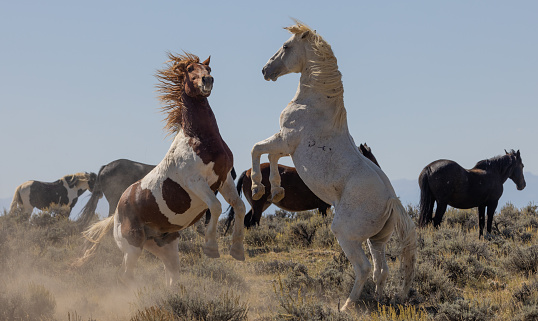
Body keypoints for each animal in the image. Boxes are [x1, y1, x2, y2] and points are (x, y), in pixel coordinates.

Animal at [224, 142, 378, 228]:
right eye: (368, 158)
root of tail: (248, 171)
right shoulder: (323, 207)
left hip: (262, 204)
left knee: (247, 221)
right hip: (258, 205)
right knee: (252, 222)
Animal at [249, 20, 416, 310]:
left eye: (286, 46)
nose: (266, 71)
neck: (313, 104)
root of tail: (391, 201)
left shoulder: (285, 140)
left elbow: (257, 149)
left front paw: (258, 187)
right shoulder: (284, 144)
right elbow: (270, 157)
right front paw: (276, 190)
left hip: (346, 234)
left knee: (363, 268)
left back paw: (347, 306)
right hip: (376, 240)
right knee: (381, 271)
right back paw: (379, 301)